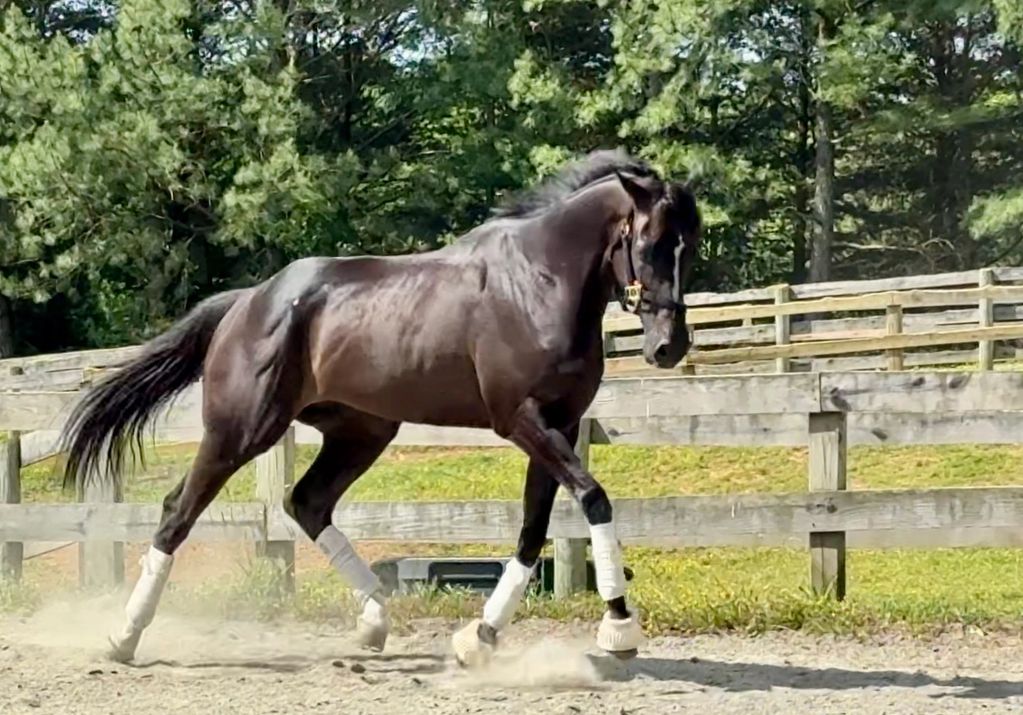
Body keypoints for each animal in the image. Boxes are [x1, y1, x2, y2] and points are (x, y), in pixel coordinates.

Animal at [57, 148, 702, 667]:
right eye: (648, 244)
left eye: (688, 246)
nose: (668, 347)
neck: (538, 281)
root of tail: (249, 301)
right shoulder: (521, 419)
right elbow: (593, 499)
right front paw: (619, 628)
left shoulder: (559, 424)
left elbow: (531, 529)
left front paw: (479, 638)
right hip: (241, 431)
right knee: (178, 513)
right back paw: (123, 637)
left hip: (362, 431)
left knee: (307, 503)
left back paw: (373, 622)